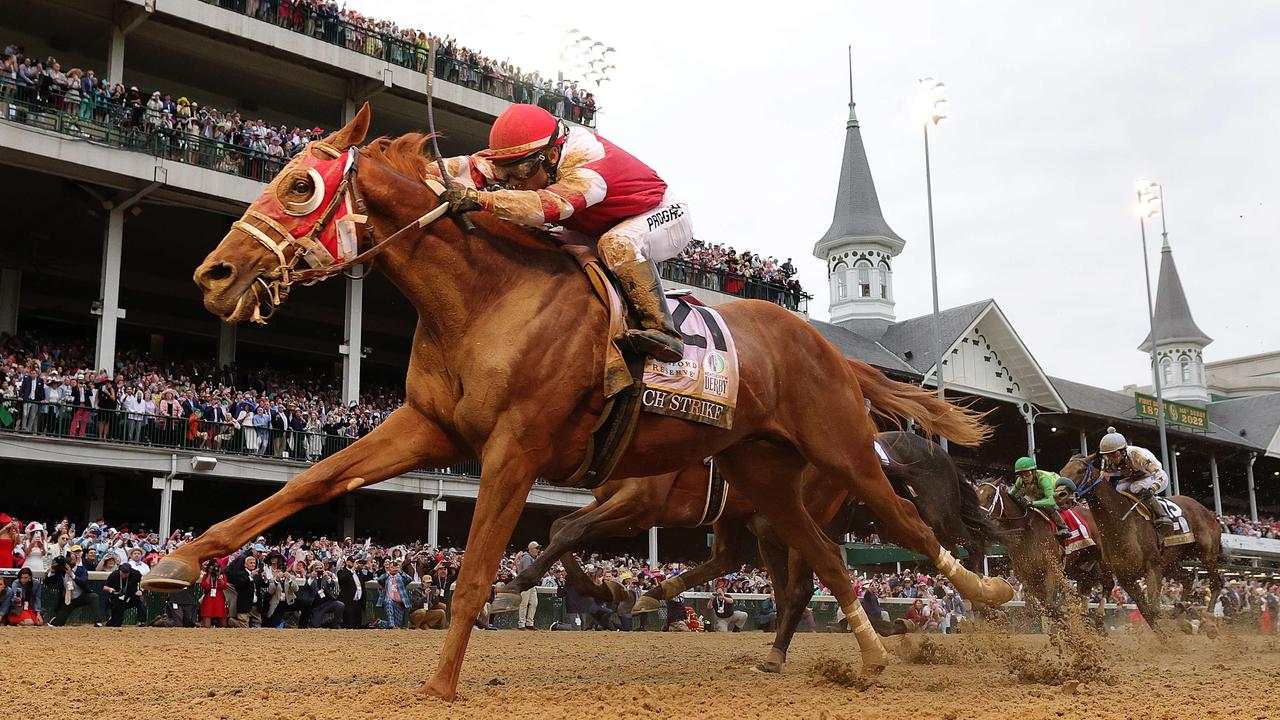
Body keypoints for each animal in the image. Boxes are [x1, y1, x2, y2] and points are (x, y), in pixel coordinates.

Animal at [147, 106, 1008, 702]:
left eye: (300, 184)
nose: (213, 275)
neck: (488, 297)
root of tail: (832, 346)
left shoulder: (518, 447)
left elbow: (481, 567)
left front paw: (442, 680)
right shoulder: (430, 426)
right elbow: (312, 481)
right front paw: (178, 560)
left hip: (837, 448)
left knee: (901, 526)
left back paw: (990, 595)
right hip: (762, 474)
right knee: (820, 561)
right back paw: (863, 653)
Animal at [1054, 453, 1223, 627]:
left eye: (1080, 470)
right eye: (1062, 471)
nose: (1059, 495)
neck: (1120, 522)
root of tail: (1208, 512)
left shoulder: (1152, 567)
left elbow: (1153, 610)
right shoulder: (1126, 576)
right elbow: (1146, 612)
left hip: (1206, 554)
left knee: (1217, 582)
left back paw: (1208, 620)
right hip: (1170, 562)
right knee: (1189, 579)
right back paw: (1180, 614)